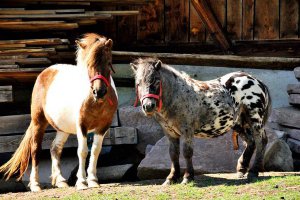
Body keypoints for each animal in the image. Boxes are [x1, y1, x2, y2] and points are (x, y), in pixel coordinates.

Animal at [0, 33, 118, 191]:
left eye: (108, 62)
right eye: (88, 65)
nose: (98, 92)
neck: (96, 102)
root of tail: (47, 71)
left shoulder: (103, 126)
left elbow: (95, 150)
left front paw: (93, 180)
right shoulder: (81, 125)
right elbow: (82, 151)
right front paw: (82, 182)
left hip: (63, 129)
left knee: (55, 148)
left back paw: (61, 180)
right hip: (38, 122)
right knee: (35, 150)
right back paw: (35, 184)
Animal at [131, 57, 272, 185]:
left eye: (156, 81)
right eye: (138, 83)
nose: (148, 106)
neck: (177, 97)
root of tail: (257, 80)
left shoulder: (187, 131)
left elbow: (187, 152)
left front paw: (188, 177)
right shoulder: (170, 133)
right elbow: (173, 154)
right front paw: (171, 178)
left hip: (254, 118)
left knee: (260, 141)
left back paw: (253, 172)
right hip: (239, 122)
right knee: (251, 142)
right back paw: (242, 168)